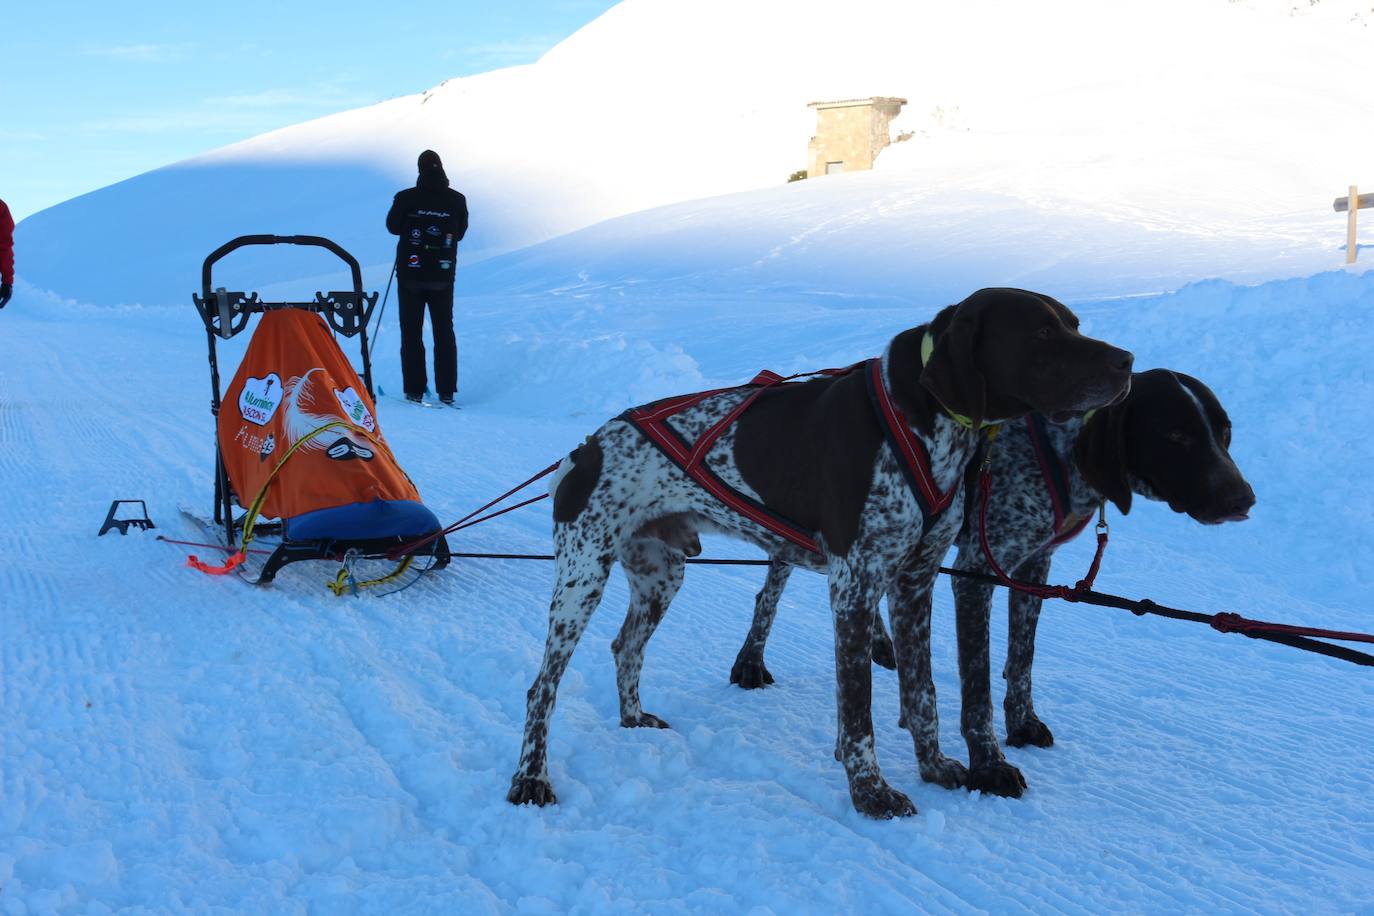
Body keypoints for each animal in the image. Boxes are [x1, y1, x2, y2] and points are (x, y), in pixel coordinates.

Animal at [511, 287, 1132, 818]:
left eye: (1075, 323)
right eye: (1042, 332)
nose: (1127, 361)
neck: (924, 425)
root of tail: (585, 447)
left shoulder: (914, 582)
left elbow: (923, 690)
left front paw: (934, 766)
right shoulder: (855, 587)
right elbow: (858, 712)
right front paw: (872, 793)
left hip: (661, 575)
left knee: (626, 647)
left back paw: (633, 718)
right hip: (581, 579)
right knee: (542, 687)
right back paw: (530, 779)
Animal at [730, 368, 1258, 796]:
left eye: (1225, 431)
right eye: (1176, 434)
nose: (1244, 499)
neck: (1057, 451)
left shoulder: (1033, 568)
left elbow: (1022, 658)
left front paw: (1021, 723)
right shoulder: (976, 574)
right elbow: (977, 685)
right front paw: (989, 764)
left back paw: (881, 644)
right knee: (769, 593)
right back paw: (750, 661)